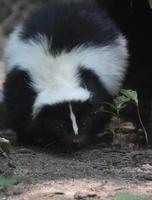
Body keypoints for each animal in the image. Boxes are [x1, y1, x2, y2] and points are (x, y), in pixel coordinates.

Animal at [3, 1, 128, 148]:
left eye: (84, 122)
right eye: (60, 125)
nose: (76, 140)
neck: (57, 77)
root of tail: (72, 6)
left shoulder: (96, 82)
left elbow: (100, 109)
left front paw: (93, 136)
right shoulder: (21, 83)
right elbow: (20, 114)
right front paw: (30, 138)